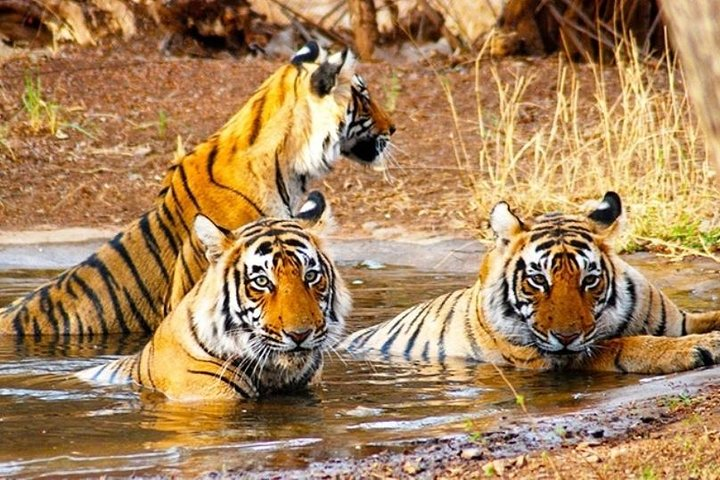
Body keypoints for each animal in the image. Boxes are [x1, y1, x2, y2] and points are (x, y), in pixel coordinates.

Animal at [343, 192, 720, 374]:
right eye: (538, 280)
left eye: (590, 280)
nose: (566, 337)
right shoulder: (556, 358)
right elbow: (624, 345)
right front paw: (699, 348)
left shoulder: (681, 320)